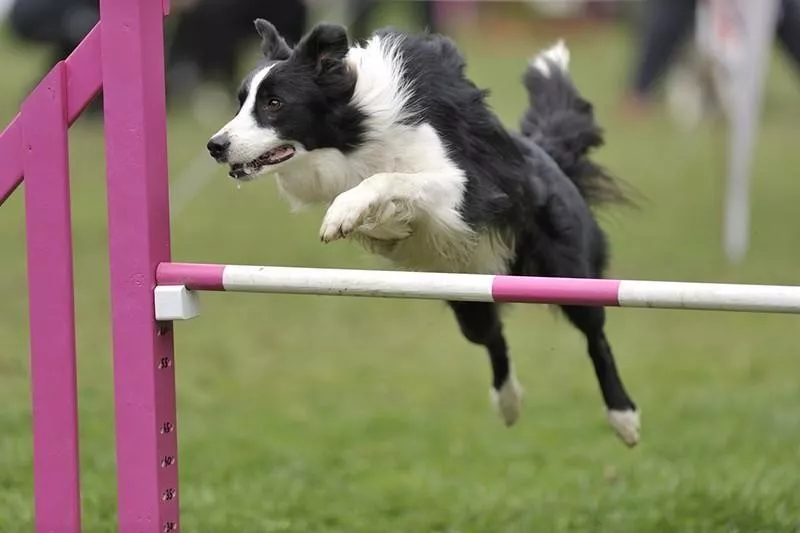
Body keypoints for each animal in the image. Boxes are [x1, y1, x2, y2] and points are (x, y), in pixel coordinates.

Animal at [208, 19, 644, 444]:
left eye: (274, 104)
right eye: (241, 102)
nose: (215, 145)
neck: (356, 128)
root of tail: (551, 157)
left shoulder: (462, 188)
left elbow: (390, 178)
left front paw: (345, 213)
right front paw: (382, 225)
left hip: (567, 274)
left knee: (595, 336)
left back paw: (623, 417)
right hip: (470, 300)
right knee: (494, 336)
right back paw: (508, 403)